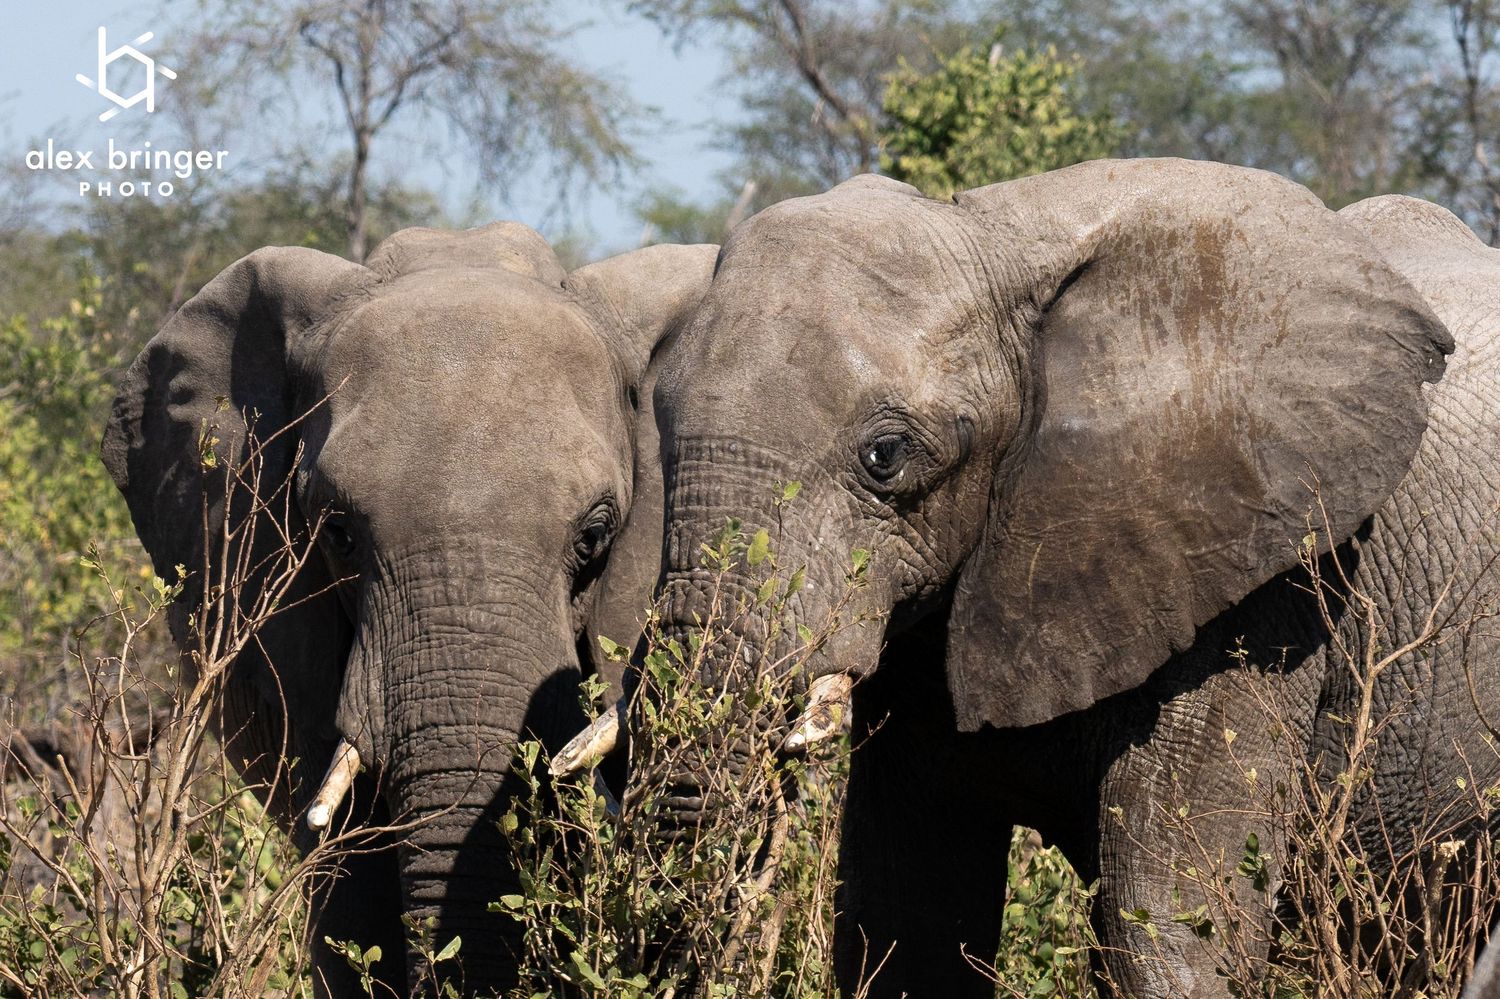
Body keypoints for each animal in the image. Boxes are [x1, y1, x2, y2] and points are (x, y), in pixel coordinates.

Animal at [571, 157, 1500, 997]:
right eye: (659, 429)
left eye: (885, 456)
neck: (997, 239)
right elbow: (907, 913)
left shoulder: (1268, 583)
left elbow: (1167, 925)